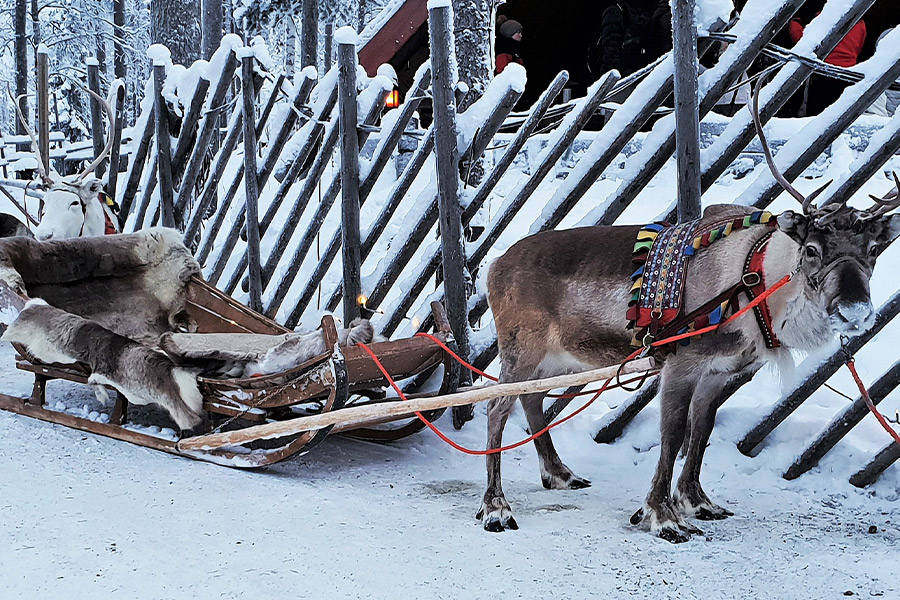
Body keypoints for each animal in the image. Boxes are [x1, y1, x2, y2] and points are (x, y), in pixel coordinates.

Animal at [478, 86, 900, 542]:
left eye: (873, 250)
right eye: (811, 250)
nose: (856, 310)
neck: (755, 278)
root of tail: (495, 265)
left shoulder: (720, 372)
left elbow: (701, 433)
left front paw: (697, 501)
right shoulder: (682, 363)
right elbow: (673, 433)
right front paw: (662, 515)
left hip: (557, 357)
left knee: (532, 399)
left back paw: (559, 473)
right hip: (522, 350)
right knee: (497, 408)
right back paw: (496, 507)